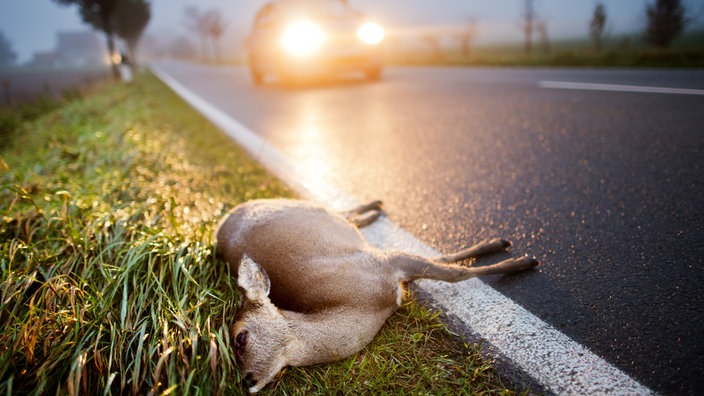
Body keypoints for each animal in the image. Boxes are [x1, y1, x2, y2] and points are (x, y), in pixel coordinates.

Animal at [216, 200, 540, 392]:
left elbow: (453, 272)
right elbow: (446, 263)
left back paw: (375, 207)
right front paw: (507, 252)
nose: (245, 382)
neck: (365, 305)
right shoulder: (389, 266)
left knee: (339, 209)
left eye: (240, 337)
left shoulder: (384, 262)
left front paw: (519, 260)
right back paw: (374, 209)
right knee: (343, 213)